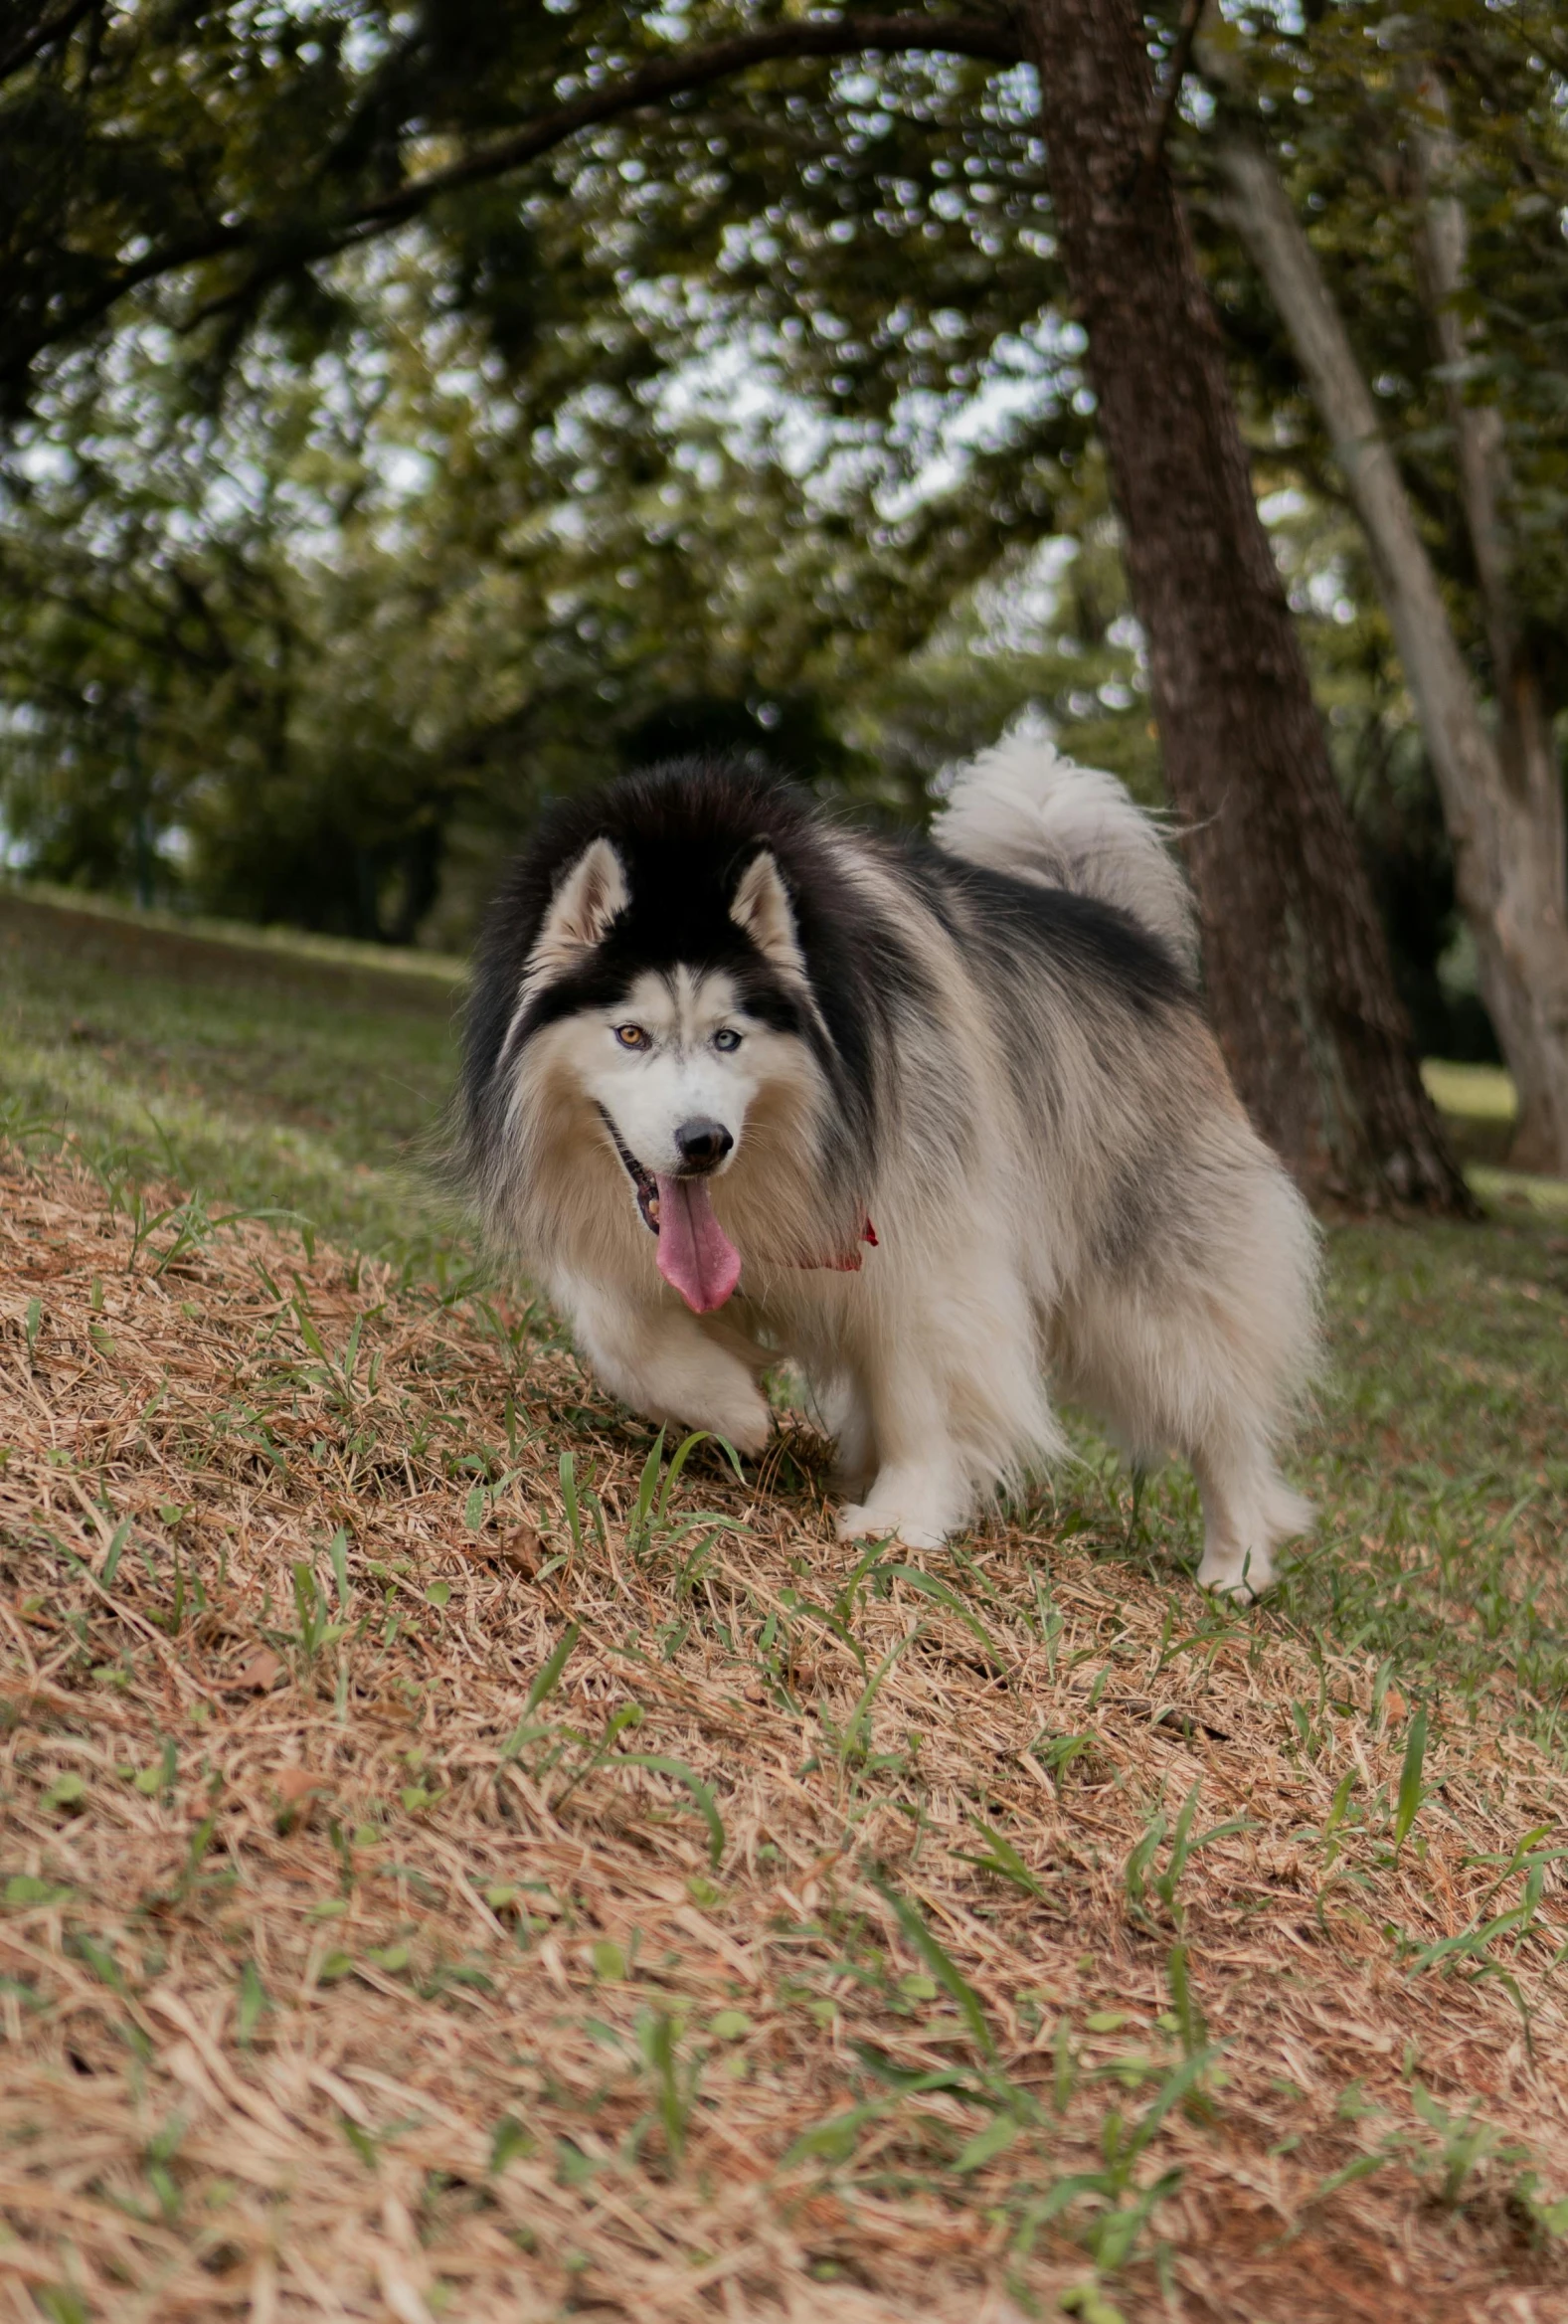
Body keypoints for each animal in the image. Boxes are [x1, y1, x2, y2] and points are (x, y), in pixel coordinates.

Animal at [459, 743, 1319, 1598]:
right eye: (631, 1033)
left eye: (729, 1036)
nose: (704, 1141)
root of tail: (1136, 938)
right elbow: (621, 1328)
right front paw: (729, 1404)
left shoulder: (926, 1231)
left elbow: (921, 1382)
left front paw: (904, 1513)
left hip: (1148, 1294)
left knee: (1217, 1406)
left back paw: (1235, 1559)